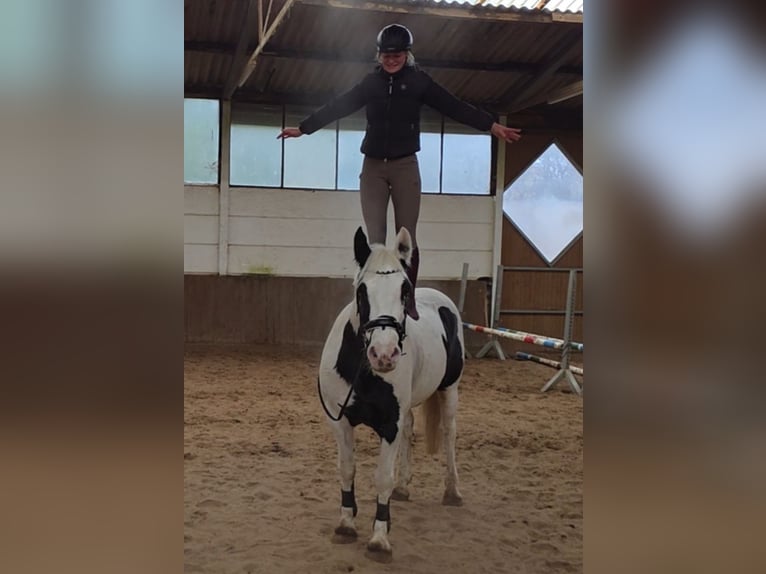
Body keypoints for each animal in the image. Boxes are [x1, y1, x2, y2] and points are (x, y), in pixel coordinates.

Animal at [317, 226, 465, 560]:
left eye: (404, 290)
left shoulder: (389, 425)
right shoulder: (340, 421)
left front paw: (379, 537)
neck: (361, 370)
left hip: (449, 389)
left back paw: (452, 491)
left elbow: (382, 478)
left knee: (449, 432)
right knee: (411, 429)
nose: (384, 355)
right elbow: (347, 469)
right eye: (361, 291)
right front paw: (346, 522)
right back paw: (403, 488)